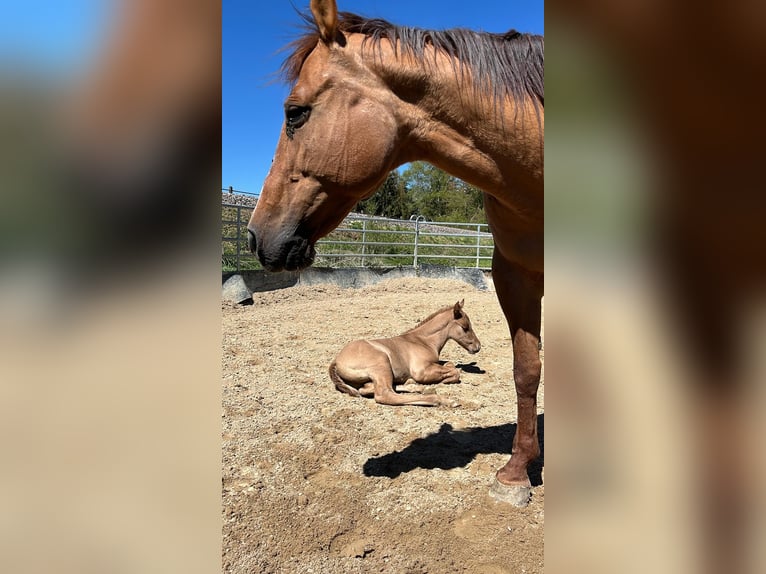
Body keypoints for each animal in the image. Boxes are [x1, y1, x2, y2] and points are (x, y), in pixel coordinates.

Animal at [330, 300, 481, 407]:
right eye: (465, 327)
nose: (477, 347)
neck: (422, 341)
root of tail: (336, 361)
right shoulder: (420, 370)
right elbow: (455, 371)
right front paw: (445, 380)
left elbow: (450, 364)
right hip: (382, 363)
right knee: (385, 394)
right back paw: (441, 399)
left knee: (371, 388)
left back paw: (417, 386)